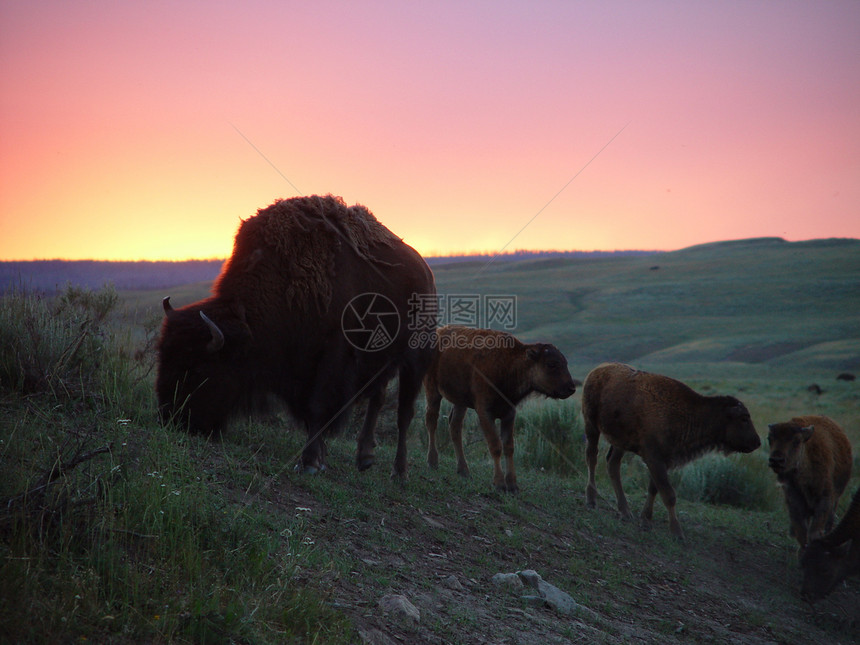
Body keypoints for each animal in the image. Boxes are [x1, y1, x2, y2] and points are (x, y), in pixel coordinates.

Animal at [155, 194, 436, 476]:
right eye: (163, 358)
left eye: (199, 369)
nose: (172, 419)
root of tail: (425, 272)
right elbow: (312, 412)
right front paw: (319, 459)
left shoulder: (333, 357)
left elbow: (318, 405)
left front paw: (310, 462)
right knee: (378, 399)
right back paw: (364, 458)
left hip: (416, 358)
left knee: (404, 412)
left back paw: (399, 472)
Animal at [424, 324, 576, 490]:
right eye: (551, 364)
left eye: (566, 363)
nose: (571, 388)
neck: (510, 365)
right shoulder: (485, 412)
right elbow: (495, 445)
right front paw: (499, 483)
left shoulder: (509, 414)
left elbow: (509, 447)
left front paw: (513, 485)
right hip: (433, 390)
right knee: (432, 420)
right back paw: (432, 462)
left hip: (460, 402)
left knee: (455, 427)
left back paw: (464, 471)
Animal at [584, 362, 760, 540]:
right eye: (744, 418)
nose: (757, 442)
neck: (686, 413)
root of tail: (597, 370)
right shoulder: (654, 459)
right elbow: (669, 494)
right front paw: (677, 532)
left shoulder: (664, 460)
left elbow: (654, 489)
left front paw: (646, 520)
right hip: (591, 425)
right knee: (592, 457)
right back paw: (591, 500)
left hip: (620, 442)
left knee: (613, 464)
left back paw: (625, 511)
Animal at [764, 416, 852, 544]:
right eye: (770, 439)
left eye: (797, 441)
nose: (776, 460)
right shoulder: (794, 503)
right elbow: (802, 533)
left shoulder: (825, 500)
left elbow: (813, 533)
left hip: (836, 499)